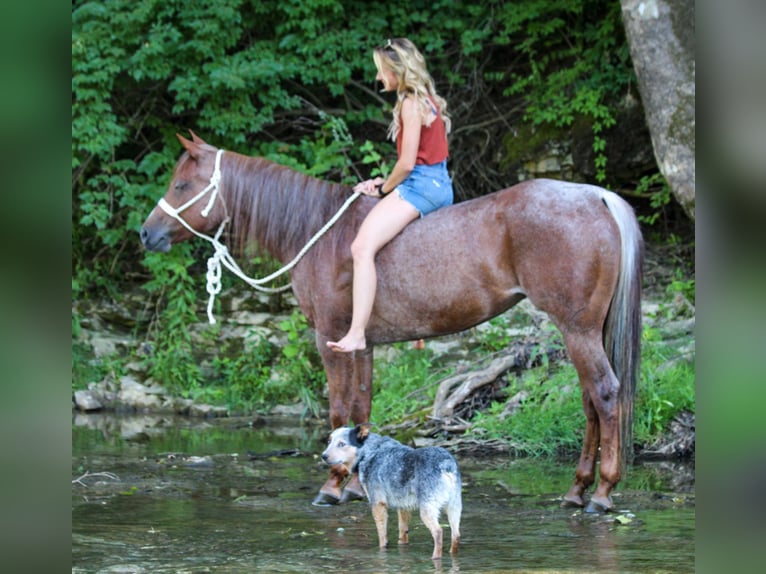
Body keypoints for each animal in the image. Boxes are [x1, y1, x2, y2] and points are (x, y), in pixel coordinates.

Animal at [141, 134, 644, 512]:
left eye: (182, 184)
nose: (146, 233)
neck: (321, 234)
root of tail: (596, 196)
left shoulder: (330, 339)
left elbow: (338, 411)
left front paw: (332, 486)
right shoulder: (362, 344)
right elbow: (361, 411)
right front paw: (355, 483)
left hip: (576, 330)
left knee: (604, 394)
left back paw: (602, 492)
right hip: (586, 331)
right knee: (590, 401)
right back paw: (576, 490)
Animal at [322, 426, 464, 560]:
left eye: (341, 444)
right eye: (329, 441)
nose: (323, 456)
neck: (369, 451)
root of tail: (446, 465)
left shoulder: (378, 504)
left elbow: (382, 535)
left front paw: (382, 550)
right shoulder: (403, 507)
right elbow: (403, 532)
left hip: (427, 510)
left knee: (438, 532)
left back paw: (435, 557)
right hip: (454, 508)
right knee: (456, 534)